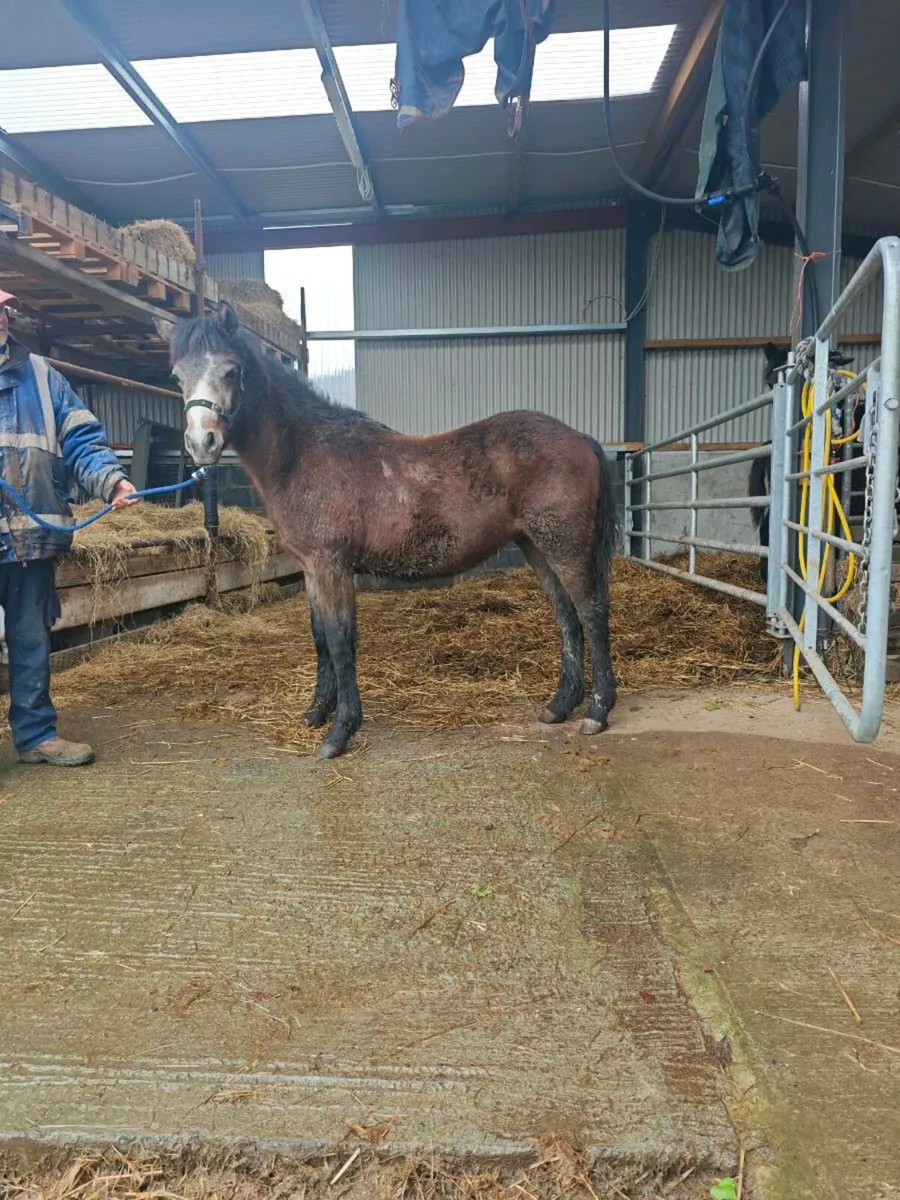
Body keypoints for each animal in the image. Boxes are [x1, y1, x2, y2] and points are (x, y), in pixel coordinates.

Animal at [156, 304, 618, 759]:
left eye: (232, 370)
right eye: (177, 376)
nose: (201, 443)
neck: (306, 454)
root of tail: (579, 437)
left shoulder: (332, 566)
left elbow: (340, 642)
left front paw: (340, 732)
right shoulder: (311, 569)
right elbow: (320, 638)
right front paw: (316, 713)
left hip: (566, 547)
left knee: (592, 615)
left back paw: (597, 712)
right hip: (536, 547)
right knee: (566, 618)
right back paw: (560, 706)